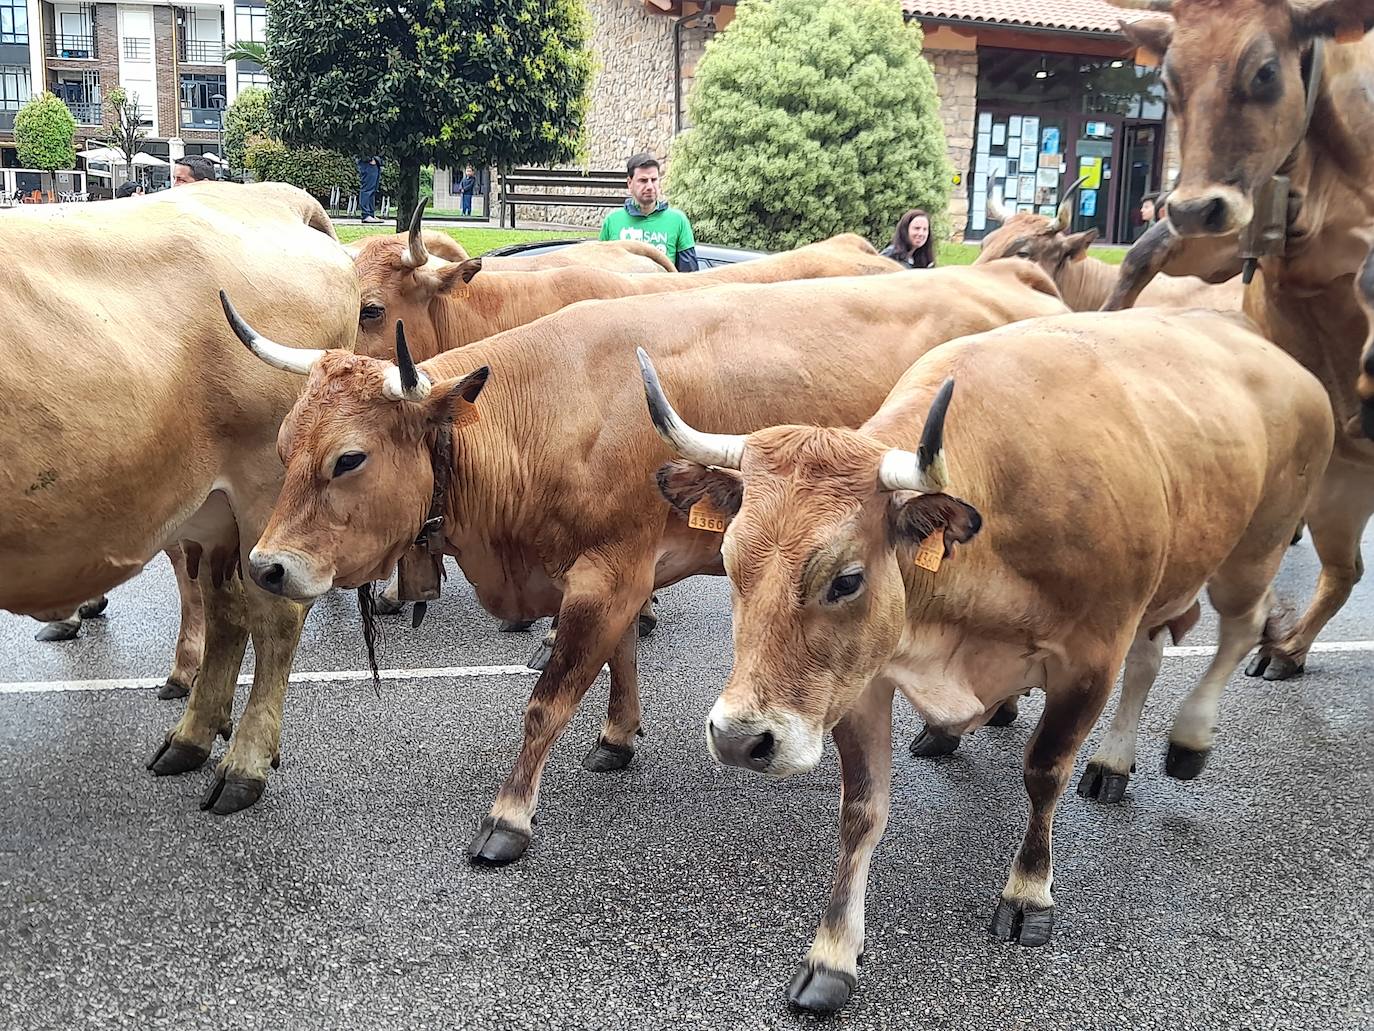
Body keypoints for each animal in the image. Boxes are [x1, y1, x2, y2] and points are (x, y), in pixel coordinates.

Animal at [0, 184, 359, 813]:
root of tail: (271, 196)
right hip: (212, 513)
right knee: (226, 608)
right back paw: (192, 737)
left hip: (267, 490)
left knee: (275, 614)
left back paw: (244, 765)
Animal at [225, 258, 1066, 863]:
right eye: (283, 446)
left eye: (349, 458)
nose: (265, 566)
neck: (546, 411)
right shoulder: (615, 574)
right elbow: (617, 659)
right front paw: (617, 737)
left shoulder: (607, 574)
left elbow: (550, 697)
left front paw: (508, 816)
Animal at [637, 309, 1335, 1017]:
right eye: (729, 562)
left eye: (847, 579)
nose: (738, 738)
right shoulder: (862, 679)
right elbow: (861, 810)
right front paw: (832, 953)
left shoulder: (1090, 658)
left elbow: (1045, 772)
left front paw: (1028, 892)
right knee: (1153, 653)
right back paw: (1107, 759)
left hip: (1254, 551)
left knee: (1236, 634)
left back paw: (1189, 739)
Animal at [1104, 0, 1374, 681]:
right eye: (1169, 81)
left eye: (1265, 72)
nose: (1193, 206)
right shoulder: (1229, 233)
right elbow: (1145, 251)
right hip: (1334, 487)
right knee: (1340, 570)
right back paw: (1284, 646)